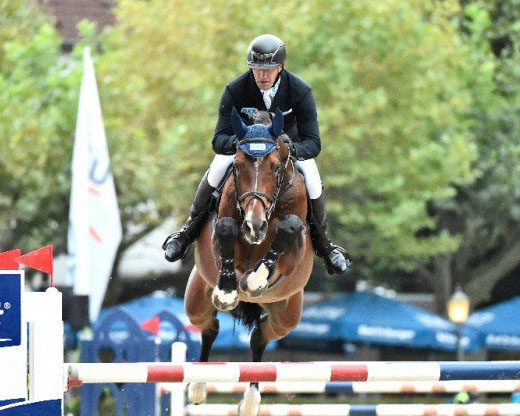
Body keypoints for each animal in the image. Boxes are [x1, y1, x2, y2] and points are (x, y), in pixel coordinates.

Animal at [184, 108, 312, 416]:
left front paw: (254, 280)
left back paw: (251, 400)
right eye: (238, 165)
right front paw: (229, 290)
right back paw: (198, 386)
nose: (255, 225)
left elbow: (288, 229)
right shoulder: (220, 233)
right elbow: (227, 228)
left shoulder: (293, 255)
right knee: (209, 327)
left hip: (287, 315)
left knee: (260, 336)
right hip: (196, 299)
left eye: (276, 167)